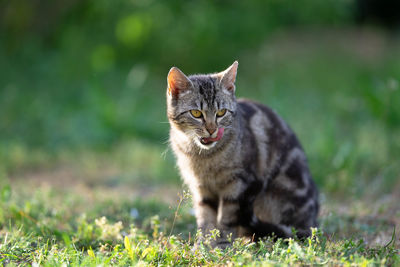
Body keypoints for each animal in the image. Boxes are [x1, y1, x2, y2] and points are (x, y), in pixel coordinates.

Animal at [166, 61, 318, 249]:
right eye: (196, 113)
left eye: (221, 112)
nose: (212, 129)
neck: (204, 156)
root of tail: (311, 223)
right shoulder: (201, 188)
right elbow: (205, 218)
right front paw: (203, 245)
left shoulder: (239, 184)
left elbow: (227, 218)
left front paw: (223, 243)